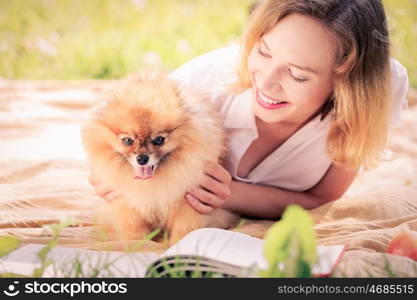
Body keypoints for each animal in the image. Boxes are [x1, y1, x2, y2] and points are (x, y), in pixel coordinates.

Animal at [81, 71, 239, 246]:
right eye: (127, 140)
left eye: (159, 140)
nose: (142, 158)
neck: (153, 182)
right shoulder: (128, 202)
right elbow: (133, 227)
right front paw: (136, 243)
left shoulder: (189, 200)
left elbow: (185, 226)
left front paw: (178, 243)